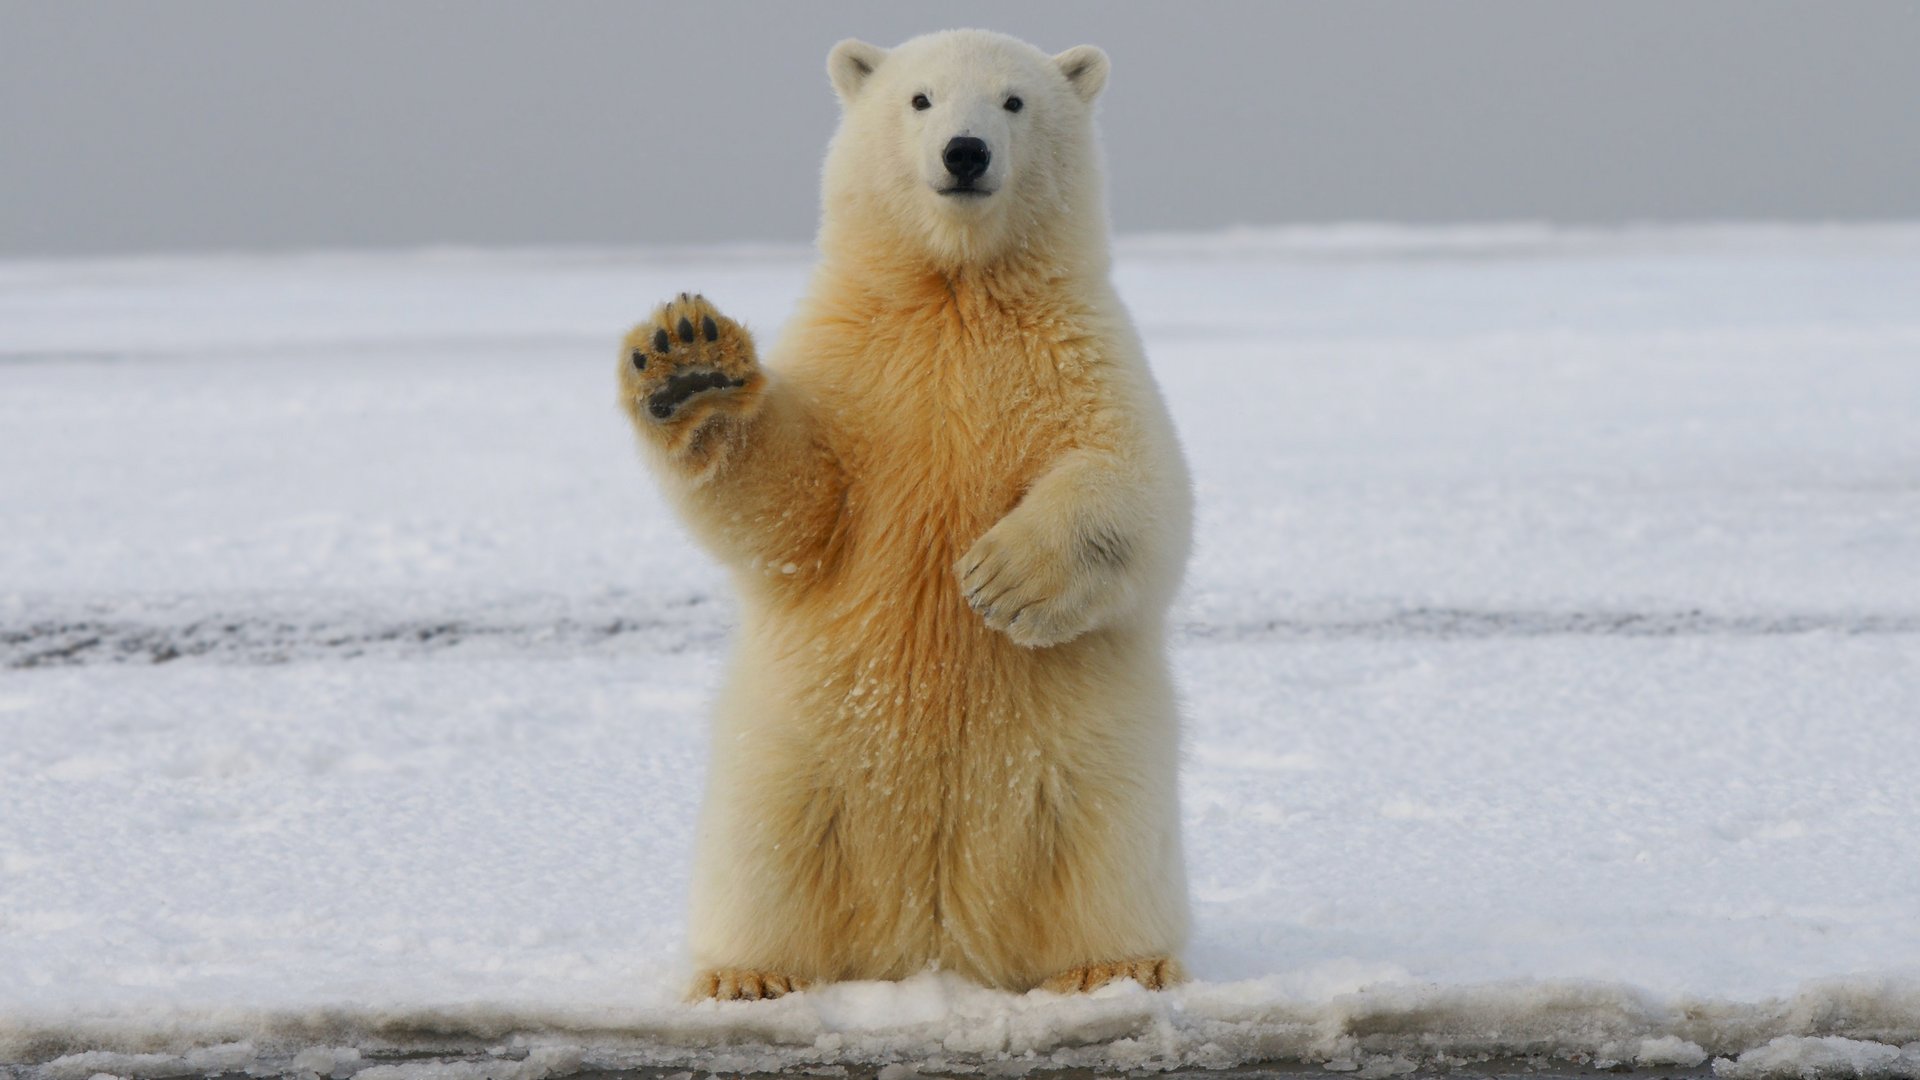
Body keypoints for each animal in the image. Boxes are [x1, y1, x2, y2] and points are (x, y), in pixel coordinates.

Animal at [614, 27, 1182, 999]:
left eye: (1013, 101)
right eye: (920, 99)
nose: (966, 152)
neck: (953, 290)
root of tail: (932, 939)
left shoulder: (1081, 353)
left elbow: (1137, 485)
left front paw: (1000, 579)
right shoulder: (856, 365)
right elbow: (797, 507)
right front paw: (689, 362)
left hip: (1092, 762)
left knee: (1106, 850)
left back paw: (1117, 966)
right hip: (792, 757)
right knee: (765, 854)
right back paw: (746, 975)